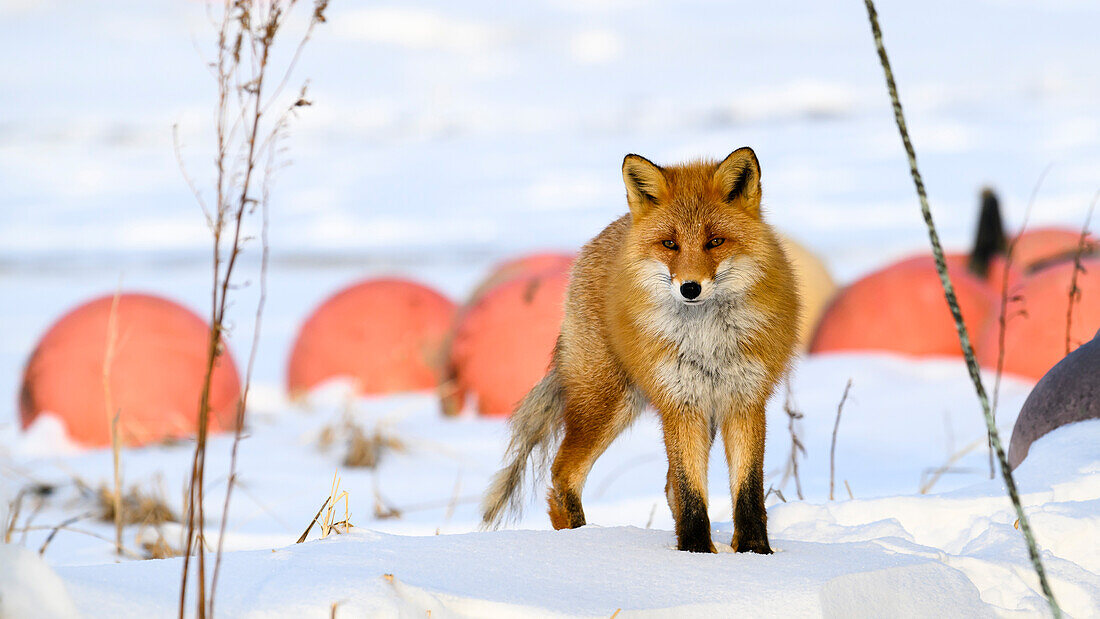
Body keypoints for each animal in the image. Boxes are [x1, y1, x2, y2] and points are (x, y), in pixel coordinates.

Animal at [481, 147, 800, 554]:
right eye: (670, 244)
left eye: (715, 241)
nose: (690, 288)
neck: (707, 340)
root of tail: (608, 232)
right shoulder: (680, 402)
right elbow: (691, 490)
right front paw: (695, 552)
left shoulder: (744, 400)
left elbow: (747, 491)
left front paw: (755, 554)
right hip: (607, 403)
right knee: (562, 474)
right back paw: (579, 540)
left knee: (665, 486)